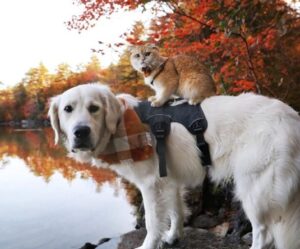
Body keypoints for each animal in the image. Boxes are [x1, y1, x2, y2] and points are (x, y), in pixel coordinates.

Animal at [48, 84, 300, 249]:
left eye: (94, 108)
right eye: (68, 109)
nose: (80, 132)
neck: (122, 128)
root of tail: (291, 116)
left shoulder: (150, 184)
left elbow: (152, 222)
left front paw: (149, 245)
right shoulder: (169, 180)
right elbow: (176, 211)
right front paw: (173, 237)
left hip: (254, 188)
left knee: (264, 234)